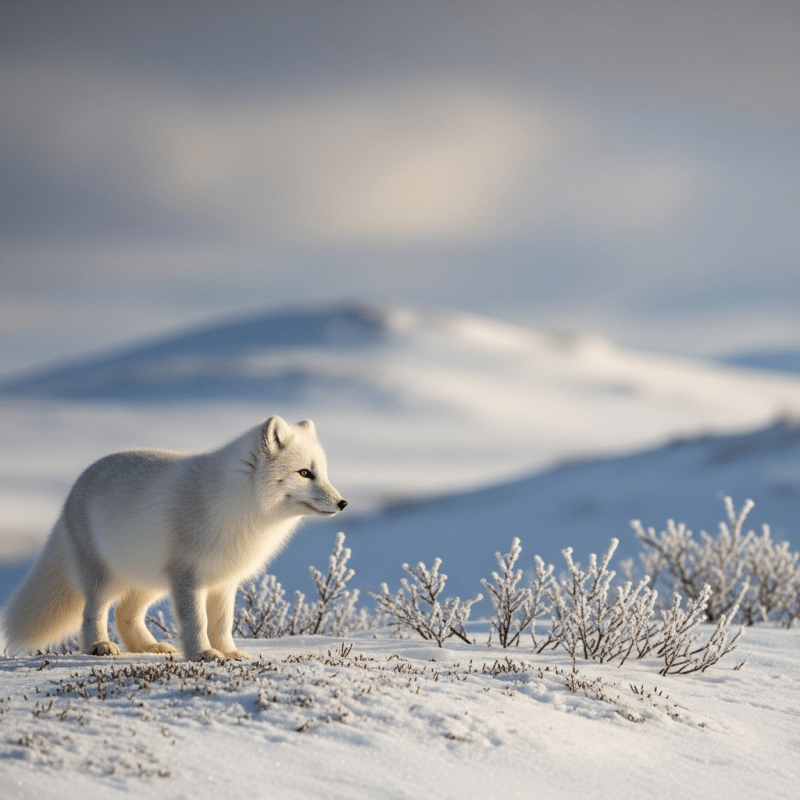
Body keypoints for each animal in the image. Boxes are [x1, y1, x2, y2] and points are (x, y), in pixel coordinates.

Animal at [1, 416, 346, 661]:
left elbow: (222, 623)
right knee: (93, 611)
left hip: (149, 581)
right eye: (305, 473)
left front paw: (229, 653)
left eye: (324, 472)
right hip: (105, 576)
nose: (343, 503)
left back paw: (149, 647)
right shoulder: (188, 576)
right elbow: (196, 621)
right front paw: (203, 654)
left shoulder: (223, 581)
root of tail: (78, 483)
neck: (239, 505)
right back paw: (99, 646)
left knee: (124, 614)